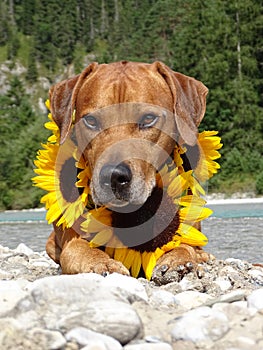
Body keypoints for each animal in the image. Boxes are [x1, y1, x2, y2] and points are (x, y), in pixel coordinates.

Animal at [44, 61, 210, 282]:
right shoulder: (72, 237)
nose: (112, 176)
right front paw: (101, 262)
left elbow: (187, 246)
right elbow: (77, 250)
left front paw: (178, 260)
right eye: (91, 121)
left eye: (148, 119)